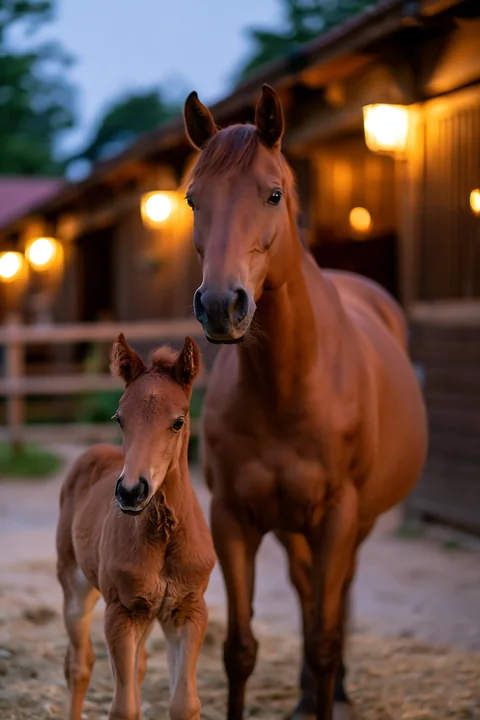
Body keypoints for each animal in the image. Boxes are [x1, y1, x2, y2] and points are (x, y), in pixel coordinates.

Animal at [56, 334, 215, 720]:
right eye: (119, 419)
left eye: (178, 421)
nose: (130, 491)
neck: (164, 536)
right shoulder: (122, 612)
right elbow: (124, 707)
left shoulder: (189, 610)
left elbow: (184, 703)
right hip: (75, 585)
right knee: (78, 664)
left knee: (137, 667)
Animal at [182, 84, 428, 720]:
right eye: (193, 200)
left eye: (273, 194)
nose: (220, 306)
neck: (286, 388)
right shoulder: (232, 518)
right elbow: (240, 649)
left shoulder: (338, 515)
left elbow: (322, 637)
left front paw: (326, 686)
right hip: (291, 525)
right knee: (306, 587)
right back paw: (301, 695)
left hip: (356, 521)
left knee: (335, 599)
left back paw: (334, 688)